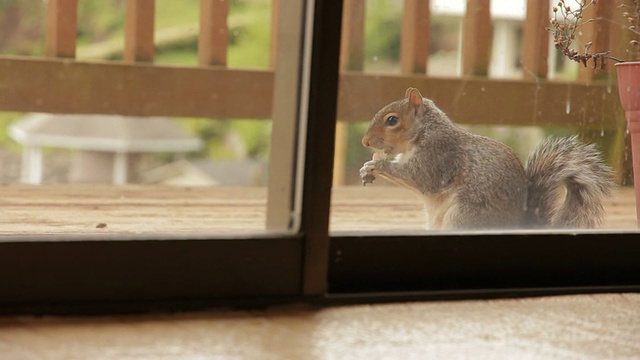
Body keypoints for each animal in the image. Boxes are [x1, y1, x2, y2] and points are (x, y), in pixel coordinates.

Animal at [360, 87, 616, 229]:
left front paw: (377, 164)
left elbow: (419, 177)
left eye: (392, 120)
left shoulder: (439, 156)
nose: (365, 142)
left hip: (463, 216)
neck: (425, 130)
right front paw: (366, 168)